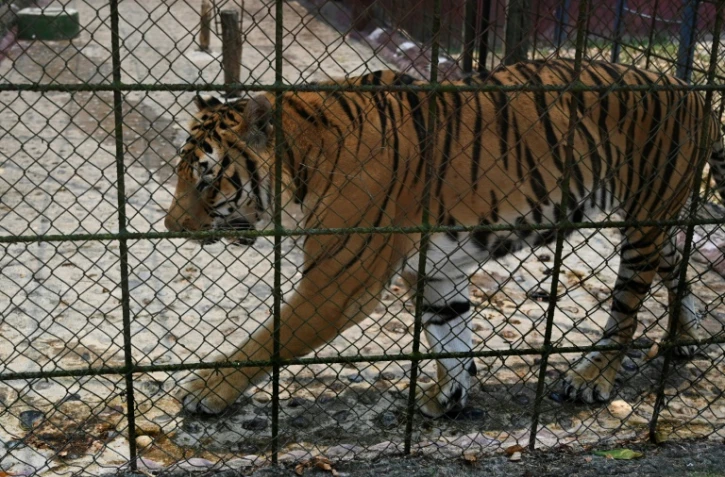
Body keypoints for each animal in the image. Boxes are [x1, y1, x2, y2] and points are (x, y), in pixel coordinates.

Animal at [164, 59, 725, 418]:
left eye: (207, 179)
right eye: (180, 171)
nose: (170, 228)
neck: (302, 163)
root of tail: (688, 84)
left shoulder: (338, 283)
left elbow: (266, 340)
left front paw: (203, 391)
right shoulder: (435, 270)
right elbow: (450, 336)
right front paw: (449, 397)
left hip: (644, 219)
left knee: (628, 308)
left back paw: (592, 378)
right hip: (657, 219)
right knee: (679, 264)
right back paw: (686, 338)